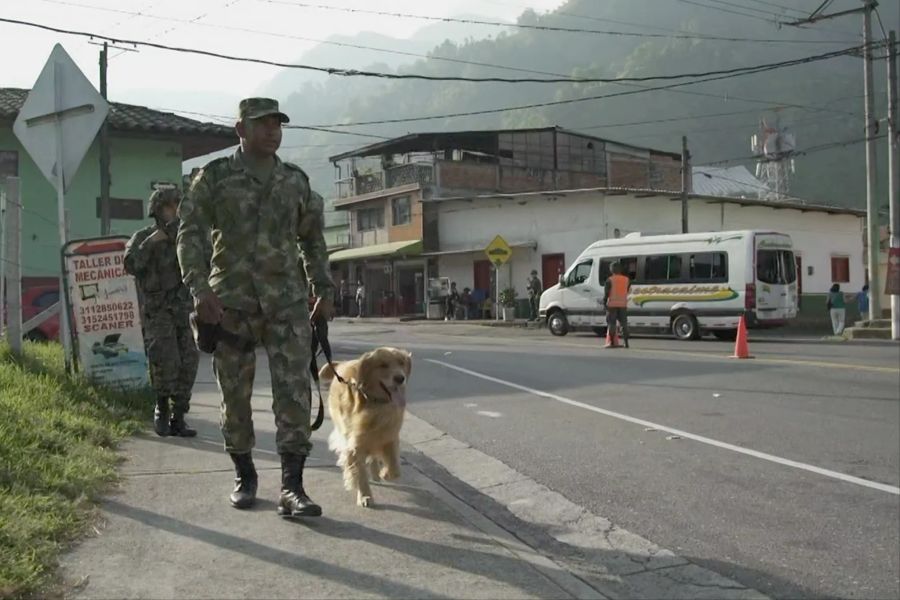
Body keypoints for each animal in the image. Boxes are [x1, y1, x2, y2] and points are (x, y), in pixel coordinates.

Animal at [320, 346, 412, 506]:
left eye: (401, 362)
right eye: (383, 365)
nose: (400, 378)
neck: (377, 405)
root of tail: (342, 363)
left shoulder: (390, 437)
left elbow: (395, 469)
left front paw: (385, 473)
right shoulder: (356, 444)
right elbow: (359, 472)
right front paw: (364, 496)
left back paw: (376, 473)